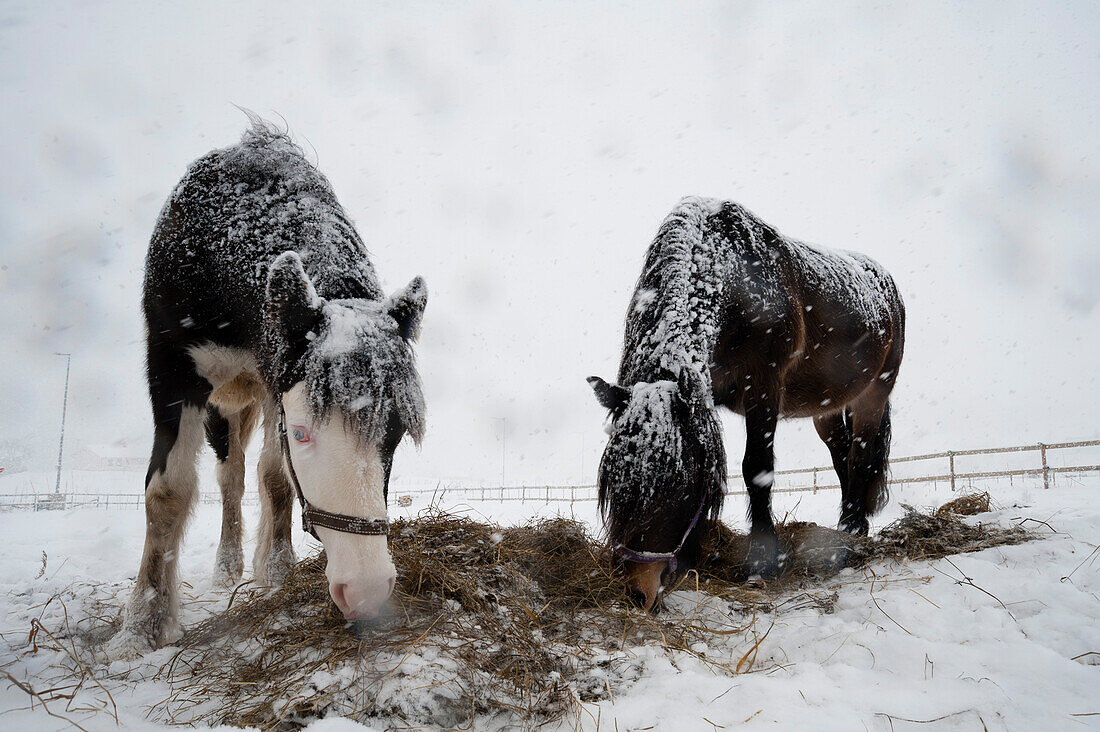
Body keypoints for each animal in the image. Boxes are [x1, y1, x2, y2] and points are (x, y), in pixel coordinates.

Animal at [106, 121, 424, 656]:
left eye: (396, 434)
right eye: (301, 433)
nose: (366, 590)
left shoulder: (275, 382)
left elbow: (276, 479)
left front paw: (276, 572)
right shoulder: (172, 369)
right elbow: (168, 491)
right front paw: (144, 624)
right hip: (220, 407)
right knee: (228, 477)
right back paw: (226, 566)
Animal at [589, 197, 906, 607]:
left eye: (680, 488)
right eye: (614, 485)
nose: (637, 592)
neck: (732, 283)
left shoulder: (763, 389)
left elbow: (756, 469)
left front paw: (763, 563)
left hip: (874, 394)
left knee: (861, 454)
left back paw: (853, 527)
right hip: (827, 409)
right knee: (841, 454)